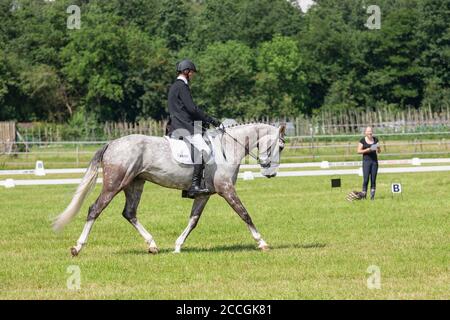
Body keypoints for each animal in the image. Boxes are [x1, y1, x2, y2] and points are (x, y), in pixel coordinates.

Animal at [51, 121, 284, 256]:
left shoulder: (205, 194)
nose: (270, 173)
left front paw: (178, 246)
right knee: (95, 209)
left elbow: (193, 220)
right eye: (281, 146)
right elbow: (245, 214)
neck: (227, 147)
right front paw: (262, 242)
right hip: (114, 184)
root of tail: (111, 144)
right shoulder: (226, 189)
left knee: (129, 213)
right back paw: (77, 247)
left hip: (135, 184)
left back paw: (152, 245)